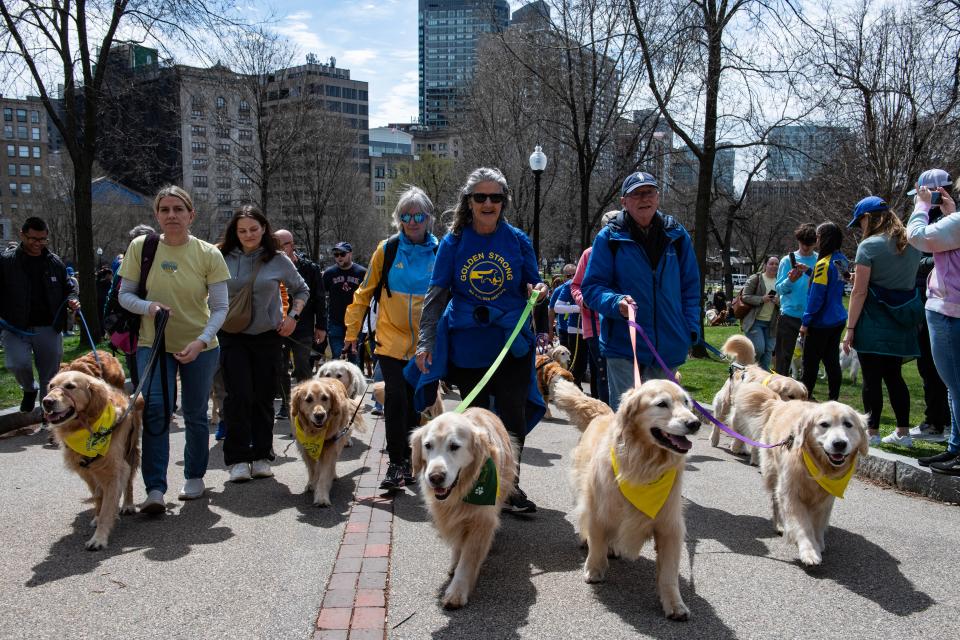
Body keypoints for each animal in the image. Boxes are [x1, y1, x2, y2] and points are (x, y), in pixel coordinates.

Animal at [42, 370, 143, 552]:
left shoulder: (114, 470)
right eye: (51, 386)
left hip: (131, 452)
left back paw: (127, 505)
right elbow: (99, 497)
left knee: (129, 483)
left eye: (70, 386)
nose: (47, 402)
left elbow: (107, 507)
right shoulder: (86, 472)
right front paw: (97, 516)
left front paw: (99, 538)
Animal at [290, 378, 362, 508]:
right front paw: (312, 484)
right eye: (308, 399)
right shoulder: (305, 449)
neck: (314, 432)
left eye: (325, 398)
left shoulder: (330, 446)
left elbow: (324, 474)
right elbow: (312, 470)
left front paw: (322, 497)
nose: (320, 415)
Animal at [410, 410, 516, 608]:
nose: (435, 477)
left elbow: (468, 559)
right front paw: (455, 562)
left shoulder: (482, 520)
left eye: (454, 446)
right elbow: (459, 545)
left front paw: (457, 592)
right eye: (427, 445)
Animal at [568, 380, 696, 620]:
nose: (694, 423)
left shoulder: (670, 525)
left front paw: (674, 603)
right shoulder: (598, 509)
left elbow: (669, 572)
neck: (644, 464)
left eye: (686, 402)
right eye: (662, 404)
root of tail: (604, 412)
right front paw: (594, 569)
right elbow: (596, 542)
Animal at [736, 384, 872, 564]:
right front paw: (809, 551)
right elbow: (802, 525)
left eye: (848, 424)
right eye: (824, 424)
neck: (819, 467)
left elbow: (817, 524)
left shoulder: (825, 499)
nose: (840, 444)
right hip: (773, 474)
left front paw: (818, 543)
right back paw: (780, 525)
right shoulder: (791, 493)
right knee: (776, 503)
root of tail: (780, 403)